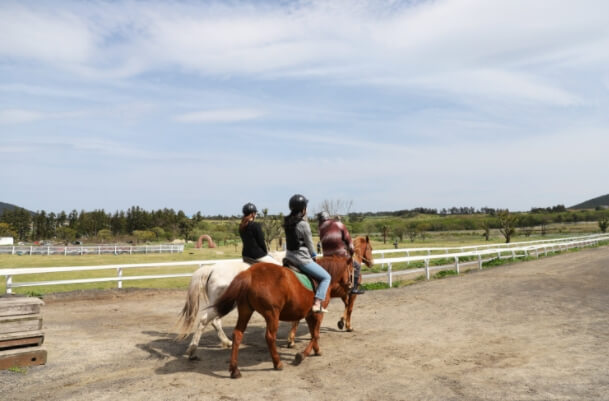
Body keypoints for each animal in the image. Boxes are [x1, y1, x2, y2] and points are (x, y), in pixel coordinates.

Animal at [213, 255, 352, 376]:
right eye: (351, 270)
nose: (351, 287)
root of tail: (250, 273)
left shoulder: (308, 314)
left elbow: (313, 333)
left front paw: (316, 350)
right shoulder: (318, 314)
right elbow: (316, 334)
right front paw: (302, 355)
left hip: (245, 310)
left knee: (237, 334)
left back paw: (234, 370)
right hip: (272, 313)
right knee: (270, 337)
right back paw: (277, 363)